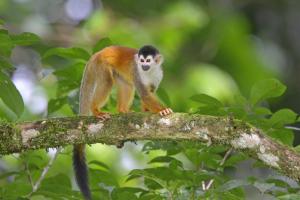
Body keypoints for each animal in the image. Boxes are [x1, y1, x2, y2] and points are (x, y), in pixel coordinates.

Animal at [73, 44, 173, 199]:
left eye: (148, 61)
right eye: (142, 61)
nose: (143, 66)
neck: (149, 72)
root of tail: (98, 53)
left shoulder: (158, 75)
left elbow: (149, 93)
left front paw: (148, 111)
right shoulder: (136, 72)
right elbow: (145, 94)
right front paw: (163, 110)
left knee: (127, 85)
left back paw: (123, 110)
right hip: (101, 66)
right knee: (108, 81)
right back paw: (95, 110)